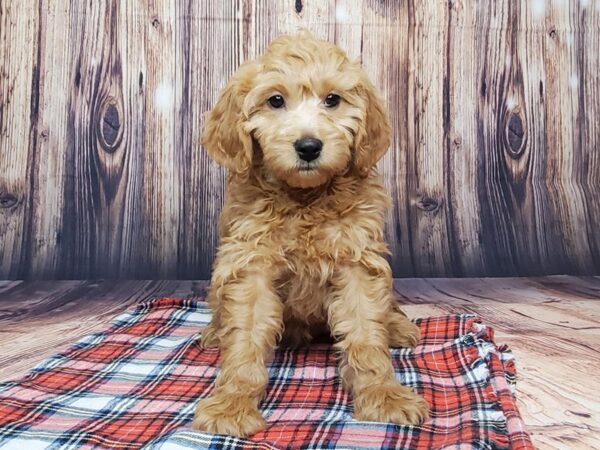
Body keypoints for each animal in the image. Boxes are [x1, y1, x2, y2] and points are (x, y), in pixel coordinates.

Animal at [192, 33, 426, 438]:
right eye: (275, 101)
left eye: (332, 100)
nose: (308, 146)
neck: (304, 199)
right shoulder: (250, 263)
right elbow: (245, 338)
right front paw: (233, 402)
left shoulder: (357, 260)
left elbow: (366, 334)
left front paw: (383, 395)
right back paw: (213, 332)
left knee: (386, 309)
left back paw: (396, 327)